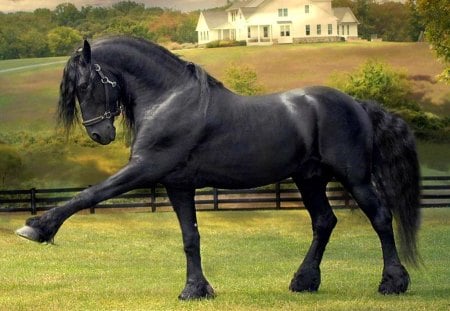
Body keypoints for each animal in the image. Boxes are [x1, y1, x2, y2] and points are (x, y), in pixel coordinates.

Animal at [15, 37, 420, 302]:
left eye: (86, 84)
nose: (99, 134)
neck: (169, 99)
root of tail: (358, 104)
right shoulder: (177, 185)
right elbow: (190, 238)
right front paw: (196, 289)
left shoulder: (145, 169)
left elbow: (90, 194)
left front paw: (37, 227)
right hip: (309, 180)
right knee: (324, 222)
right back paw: (304, 281)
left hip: (355, 178)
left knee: (380, 218)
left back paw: (393, 283)